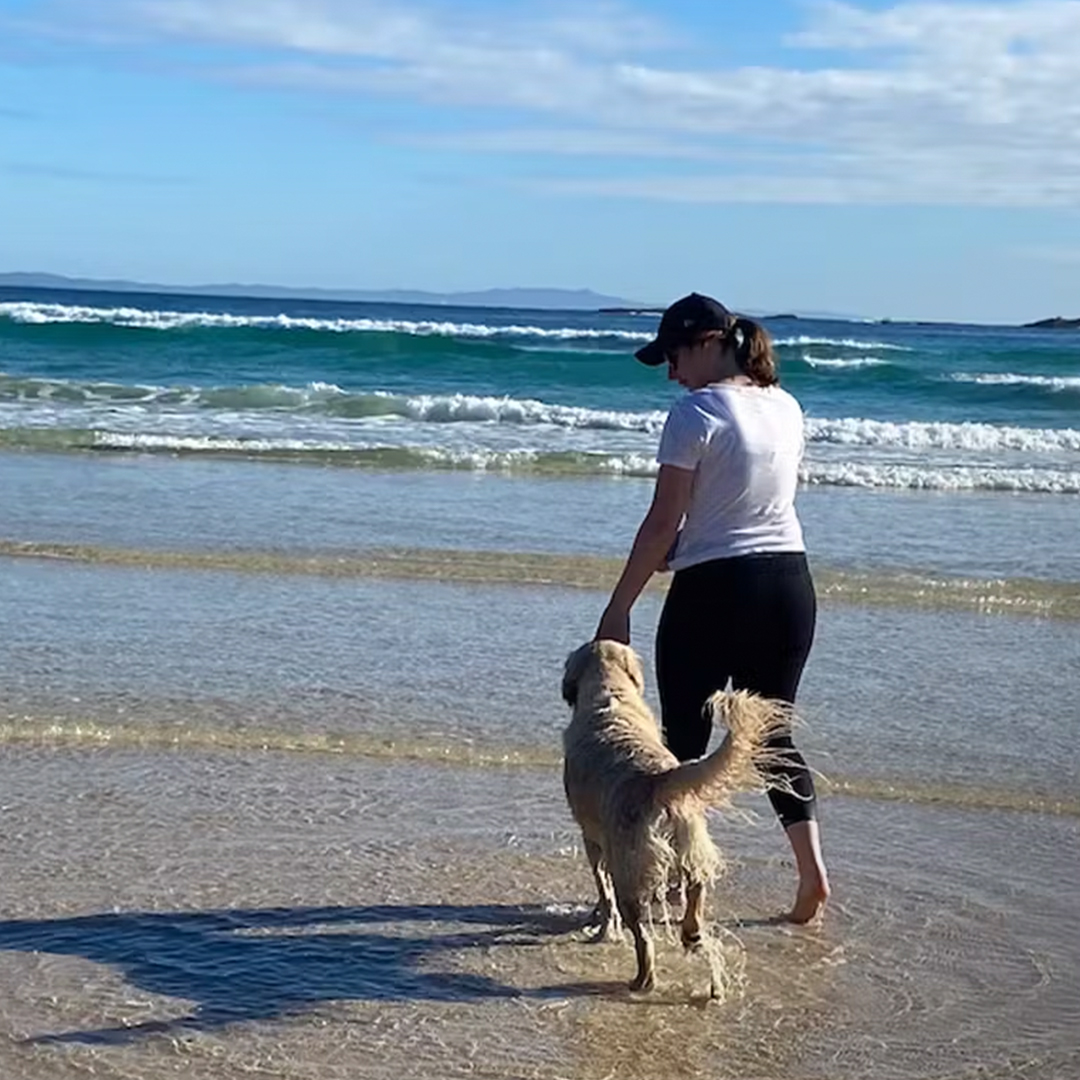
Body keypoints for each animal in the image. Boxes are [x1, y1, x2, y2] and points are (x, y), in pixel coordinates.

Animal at [561, 639, 791, 993]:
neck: (609, 689)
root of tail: (658, 779)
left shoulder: (592, 837)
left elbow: (603, 888)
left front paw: (601, 927)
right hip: (689, 844)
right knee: (695, 892)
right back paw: (694, 940)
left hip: (631, 868)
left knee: (643, 936)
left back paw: (641, 980)